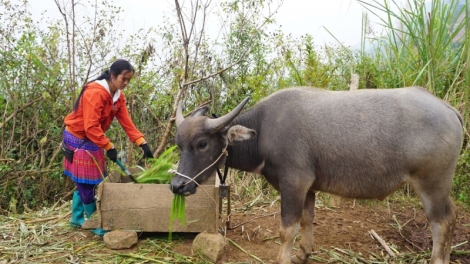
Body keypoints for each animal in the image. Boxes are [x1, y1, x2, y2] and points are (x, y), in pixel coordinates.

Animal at [170, 86, 462, 264]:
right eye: (179, 144)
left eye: (202, 144)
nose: (177, 185)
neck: (263, 132)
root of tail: (449, 110)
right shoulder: (308, 187)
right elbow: (306, 220)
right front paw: (303, 254)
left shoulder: (294, 184)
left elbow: (286, 228)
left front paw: (283, 258)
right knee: (452, 217)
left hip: (432, 185)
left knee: (441, 223)